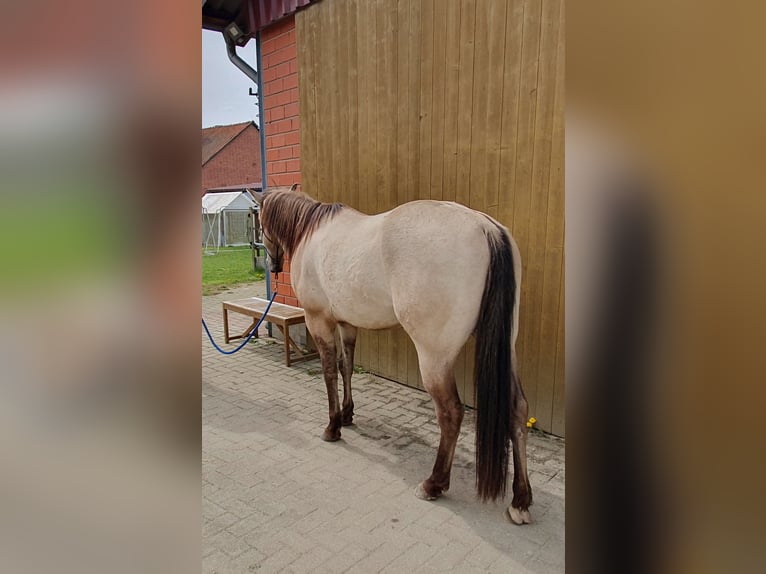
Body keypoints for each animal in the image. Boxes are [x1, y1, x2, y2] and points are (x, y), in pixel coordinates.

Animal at [253, 185, 532, 524]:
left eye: (258, 220)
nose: (272, 265)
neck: (313, 231)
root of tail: (484, 227)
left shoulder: (319, 320)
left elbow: (329, 372)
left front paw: (333, 427)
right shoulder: (347, 322)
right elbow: (346, 367)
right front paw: (347, 415)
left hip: (434, 357)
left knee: (451, 413)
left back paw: (433, 484)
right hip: (507, 350)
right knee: (517, 409)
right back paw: (520, 500)